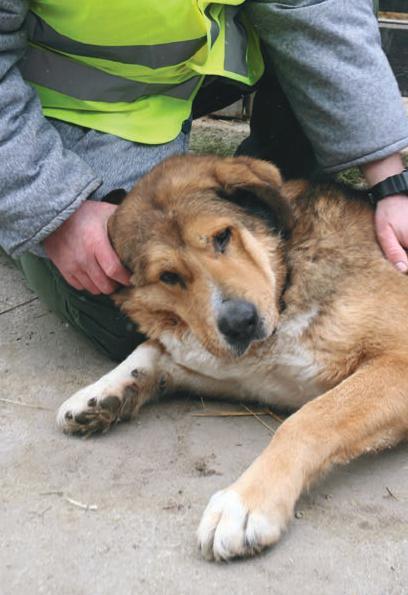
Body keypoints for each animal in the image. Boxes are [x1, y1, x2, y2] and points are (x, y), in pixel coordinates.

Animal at [55, 155, 408, 564]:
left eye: (223, 237)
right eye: (169, 276)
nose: (240, 322)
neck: (287, 280)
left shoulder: (398, 361)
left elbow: (308, 421)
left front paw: (246, 503)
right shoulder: (240, 372)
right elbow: (152, 349)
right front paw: (102, 392)